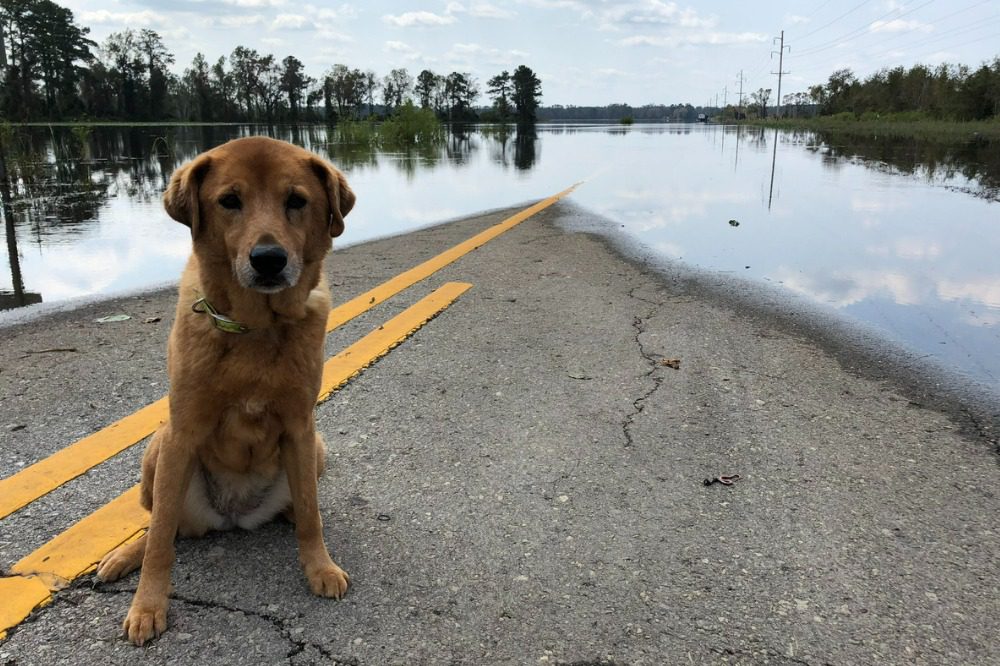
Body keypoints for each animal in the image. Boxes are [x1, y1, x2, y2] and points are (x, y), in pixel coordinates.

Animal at [96, 136, 356, 644]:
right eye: (229, 201)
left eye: (297, 201)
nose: (269, 259)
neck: (254, 328)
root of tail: (232, 515)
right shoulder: (182, 432)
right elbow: (160, 541)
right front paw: (147, 605)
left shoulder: (301, 427)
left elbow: (312, 515)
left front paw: (318, 566)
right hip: (159, 449)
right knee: (164, 526)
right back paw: (123, 556)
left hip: (316, 449)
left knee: (298, 505)